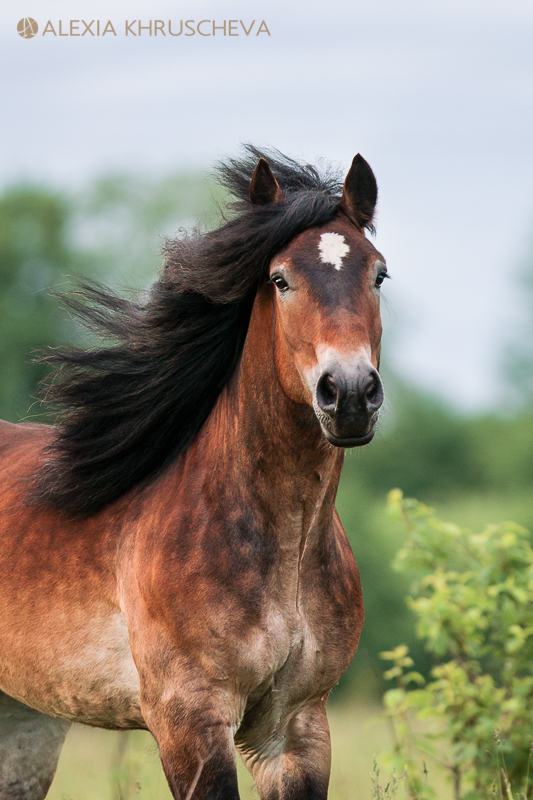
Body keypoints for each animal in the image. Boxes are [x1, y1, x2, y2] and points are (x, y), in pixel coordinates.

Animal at [0, 148, 386, 800]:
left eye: (378, 274)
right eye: (280, 279)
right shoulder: (190, 721)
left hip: (25, 721)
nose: (351, 394)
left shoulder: (297, 727)